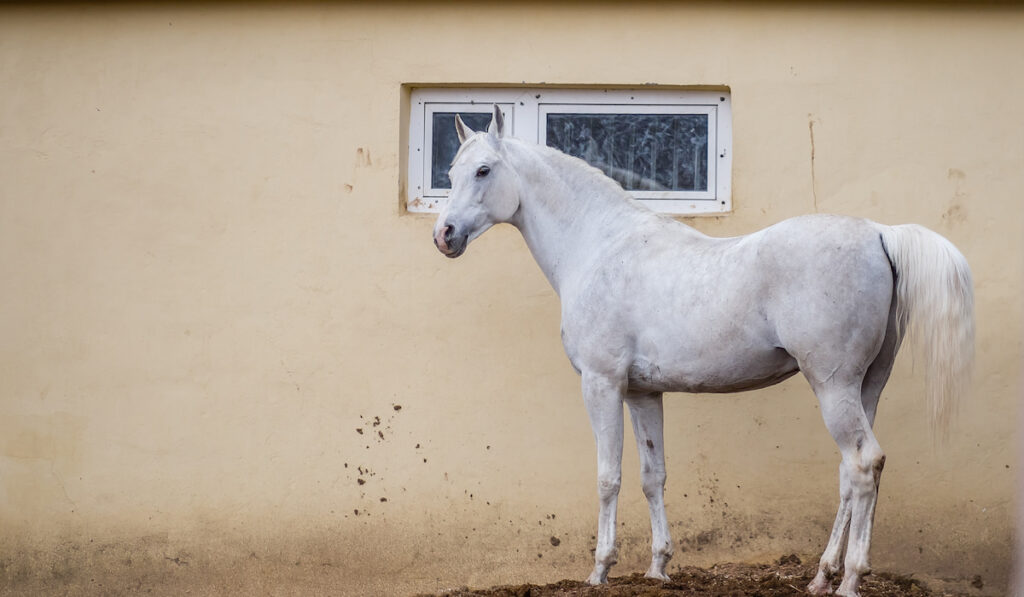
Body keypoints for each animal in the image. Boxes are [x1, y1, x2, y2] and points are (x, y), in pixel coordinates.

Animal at [432, 104, 974, 593]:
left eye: (483, 170)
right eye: (451, 172)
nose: (444, 235)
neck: (600, 246)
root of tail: (880, 233)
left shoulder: (602, 384)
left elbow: (609, 476)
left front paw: (600, 570)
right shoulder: (642, 393)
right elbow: (653, 475)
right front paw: (658, 567)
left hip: (833, 386)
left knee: (863, 465)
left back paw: (851, 580)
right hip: (867, 386)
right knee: (853, 473)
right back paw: (822, 576)